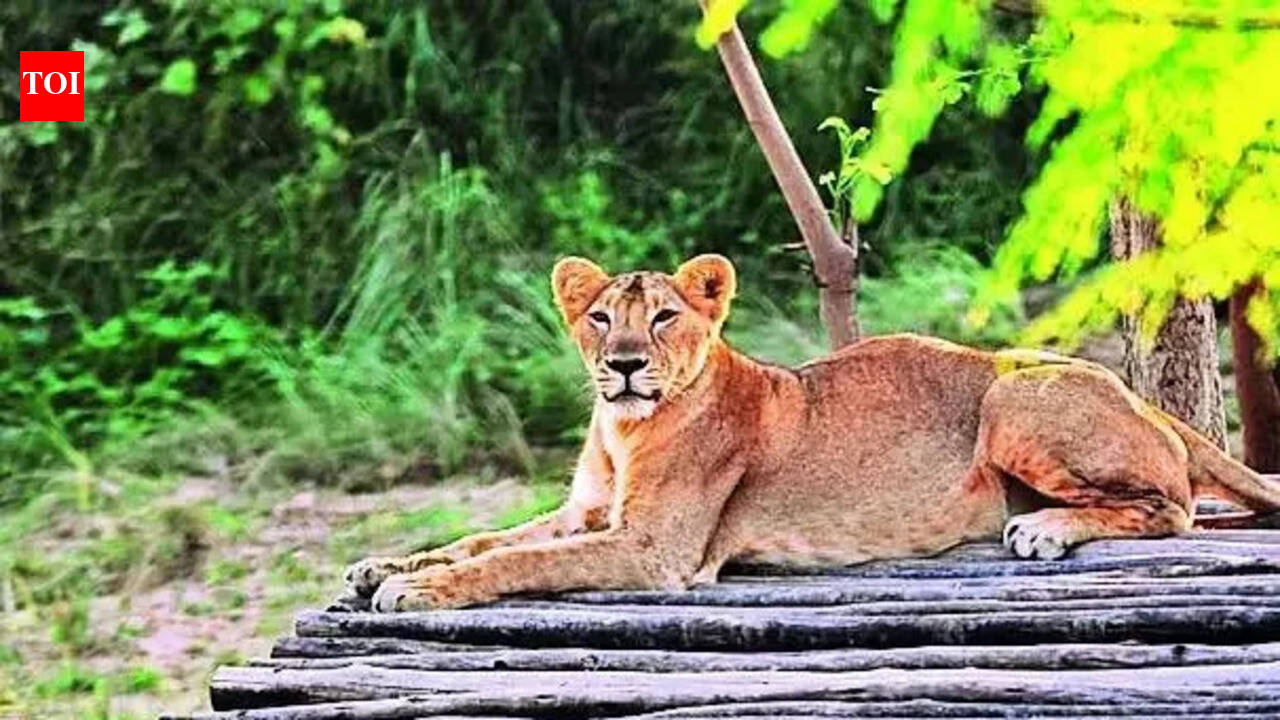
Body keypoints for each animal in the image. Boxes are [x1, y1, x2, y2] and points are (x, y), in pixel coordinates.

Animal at [345, 254, 1280, 612]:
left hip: (1013, 397)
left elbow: (516, 562)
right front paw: (385, 568)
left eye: (666, 318)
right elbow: (483, 539)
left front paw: (417, 592)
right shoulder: (586, 513)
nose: (623, 365)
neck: (622, 428)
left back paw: (1045, 529)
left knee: (1173, 506)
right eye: (602, 317)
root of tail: (1142, 397)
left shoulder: (656, 550)